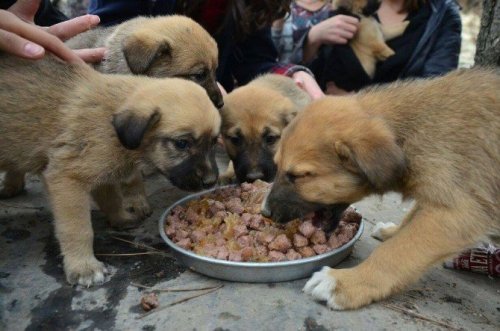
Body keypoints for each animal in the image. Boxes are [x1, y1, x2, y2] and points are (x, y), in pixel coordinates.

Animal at [0, 55, 221, 286]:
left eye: (214, 142)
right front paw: (83, 266)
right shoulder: (67, 178)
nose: (211, 181)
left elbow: (111, 198)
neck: (111, 122)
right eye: (181, 144)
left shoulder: (101, 170)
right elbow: (78, 228)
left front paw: (121, 218)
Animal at [262, 68, 500, 310]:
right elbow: (409, 221)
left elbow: (397, 251)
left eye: (298, 176)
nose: (265, 213)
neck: (411, 130)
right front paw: (392, 231)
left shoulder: (459, 211)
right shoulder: (437, 194)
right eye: (277, 165)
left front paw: (345, 282)